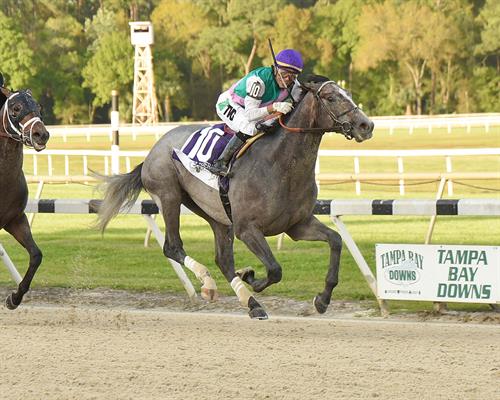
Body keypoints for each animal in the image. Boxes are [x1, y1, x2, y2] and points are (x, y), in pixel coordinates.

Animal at [95, 79, 374, 320]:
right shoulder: (247, 229)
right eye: (331, 97)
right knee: (173, 247)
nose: (366, 125)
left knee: (223, 259)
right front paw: (251, 277)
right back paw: (210, 283)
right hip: (169, 195)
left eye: (348, 93)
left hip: (215, 214)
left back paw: (250, 303)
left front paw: (323, 299)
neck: (280, 164)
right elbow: (275, 269)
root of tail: (150, 154)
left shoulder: (297, 225)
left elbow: (336, 240)